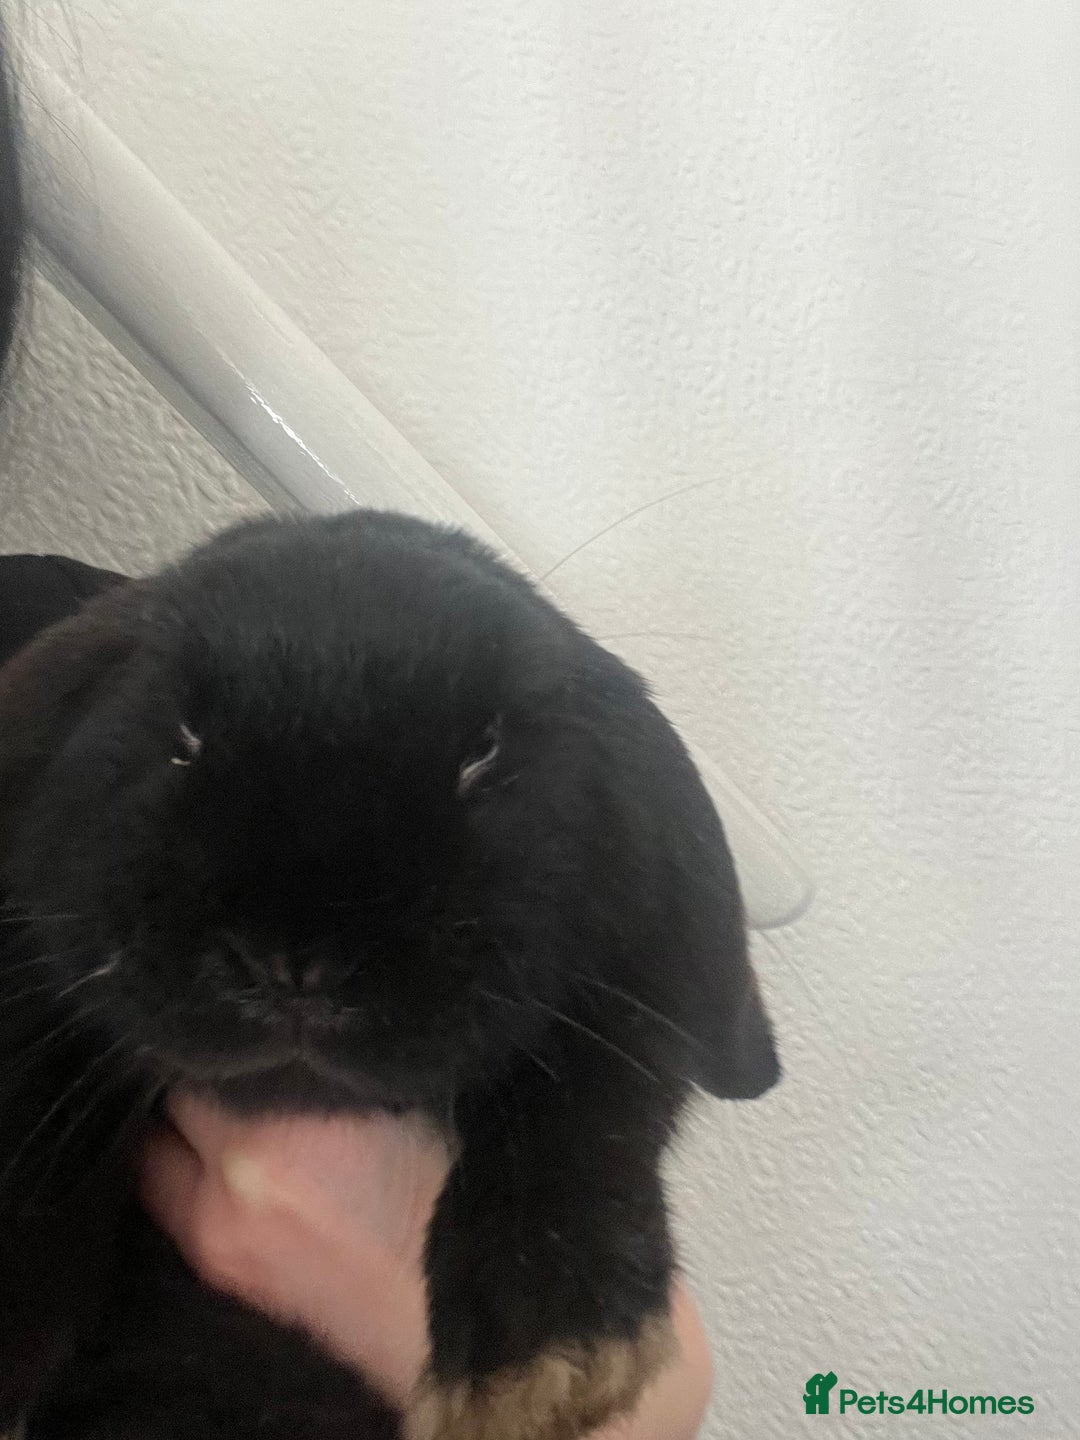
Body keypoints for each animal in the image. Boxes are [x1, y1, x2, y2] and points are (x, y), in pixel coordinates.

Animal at [0, 511, 779, 1440]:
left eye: (485, 754)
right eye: (182, 737)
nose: (298, 964)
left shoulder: (616, 1015)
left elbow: (596, 1088)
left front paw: (546, 1361)